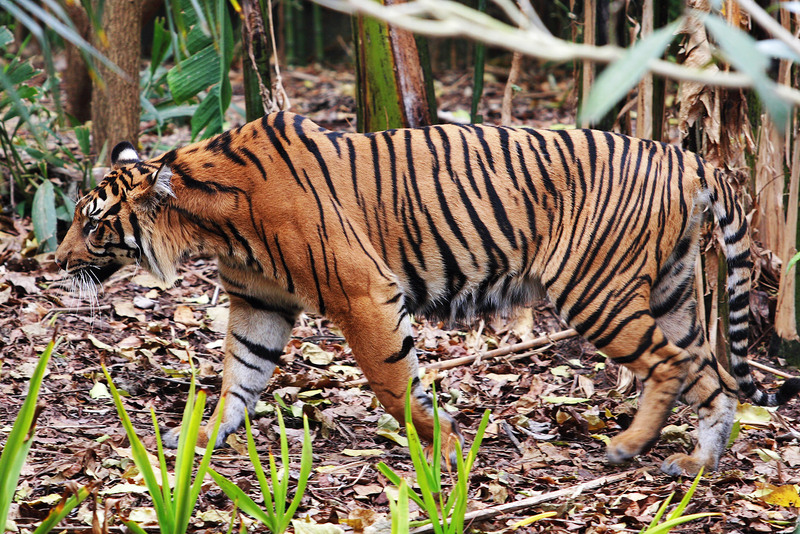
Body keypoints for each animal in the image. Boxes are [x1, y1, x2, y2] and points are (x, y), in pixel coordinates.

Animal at [54, 112, 800, 478]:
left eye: (90, 224)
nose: (53, 260)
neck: (209, 223)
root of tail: (688, 154)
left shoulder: (364, 294)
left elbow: (393, 384)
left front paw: (441, 448)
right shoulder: (259, 304)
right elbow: (238, 377)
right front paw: (199, 442)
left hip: (597, 290)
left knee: (673, 366)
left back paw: (628, 448)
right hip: (674, 292)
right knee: (711, 374)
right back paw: (696, 461)